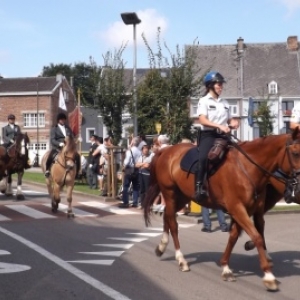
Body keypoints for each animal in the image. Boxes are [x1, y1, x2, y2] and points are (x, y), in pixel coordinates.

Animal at [143, 129, 300, 290]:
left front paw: (226, 268)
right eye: (295, 153)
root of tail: (166, 150)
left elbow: (235, 236)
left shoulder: (247, 209)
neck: (246, 168)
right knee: (173, 224)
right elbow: (256, 236)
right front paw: (268, 276)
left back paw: (161, 247)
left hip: (182, 197)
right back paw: (181, 260)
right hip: (170, 194)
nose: (297, 184)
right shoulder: (237, 208)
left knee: (167, 216)